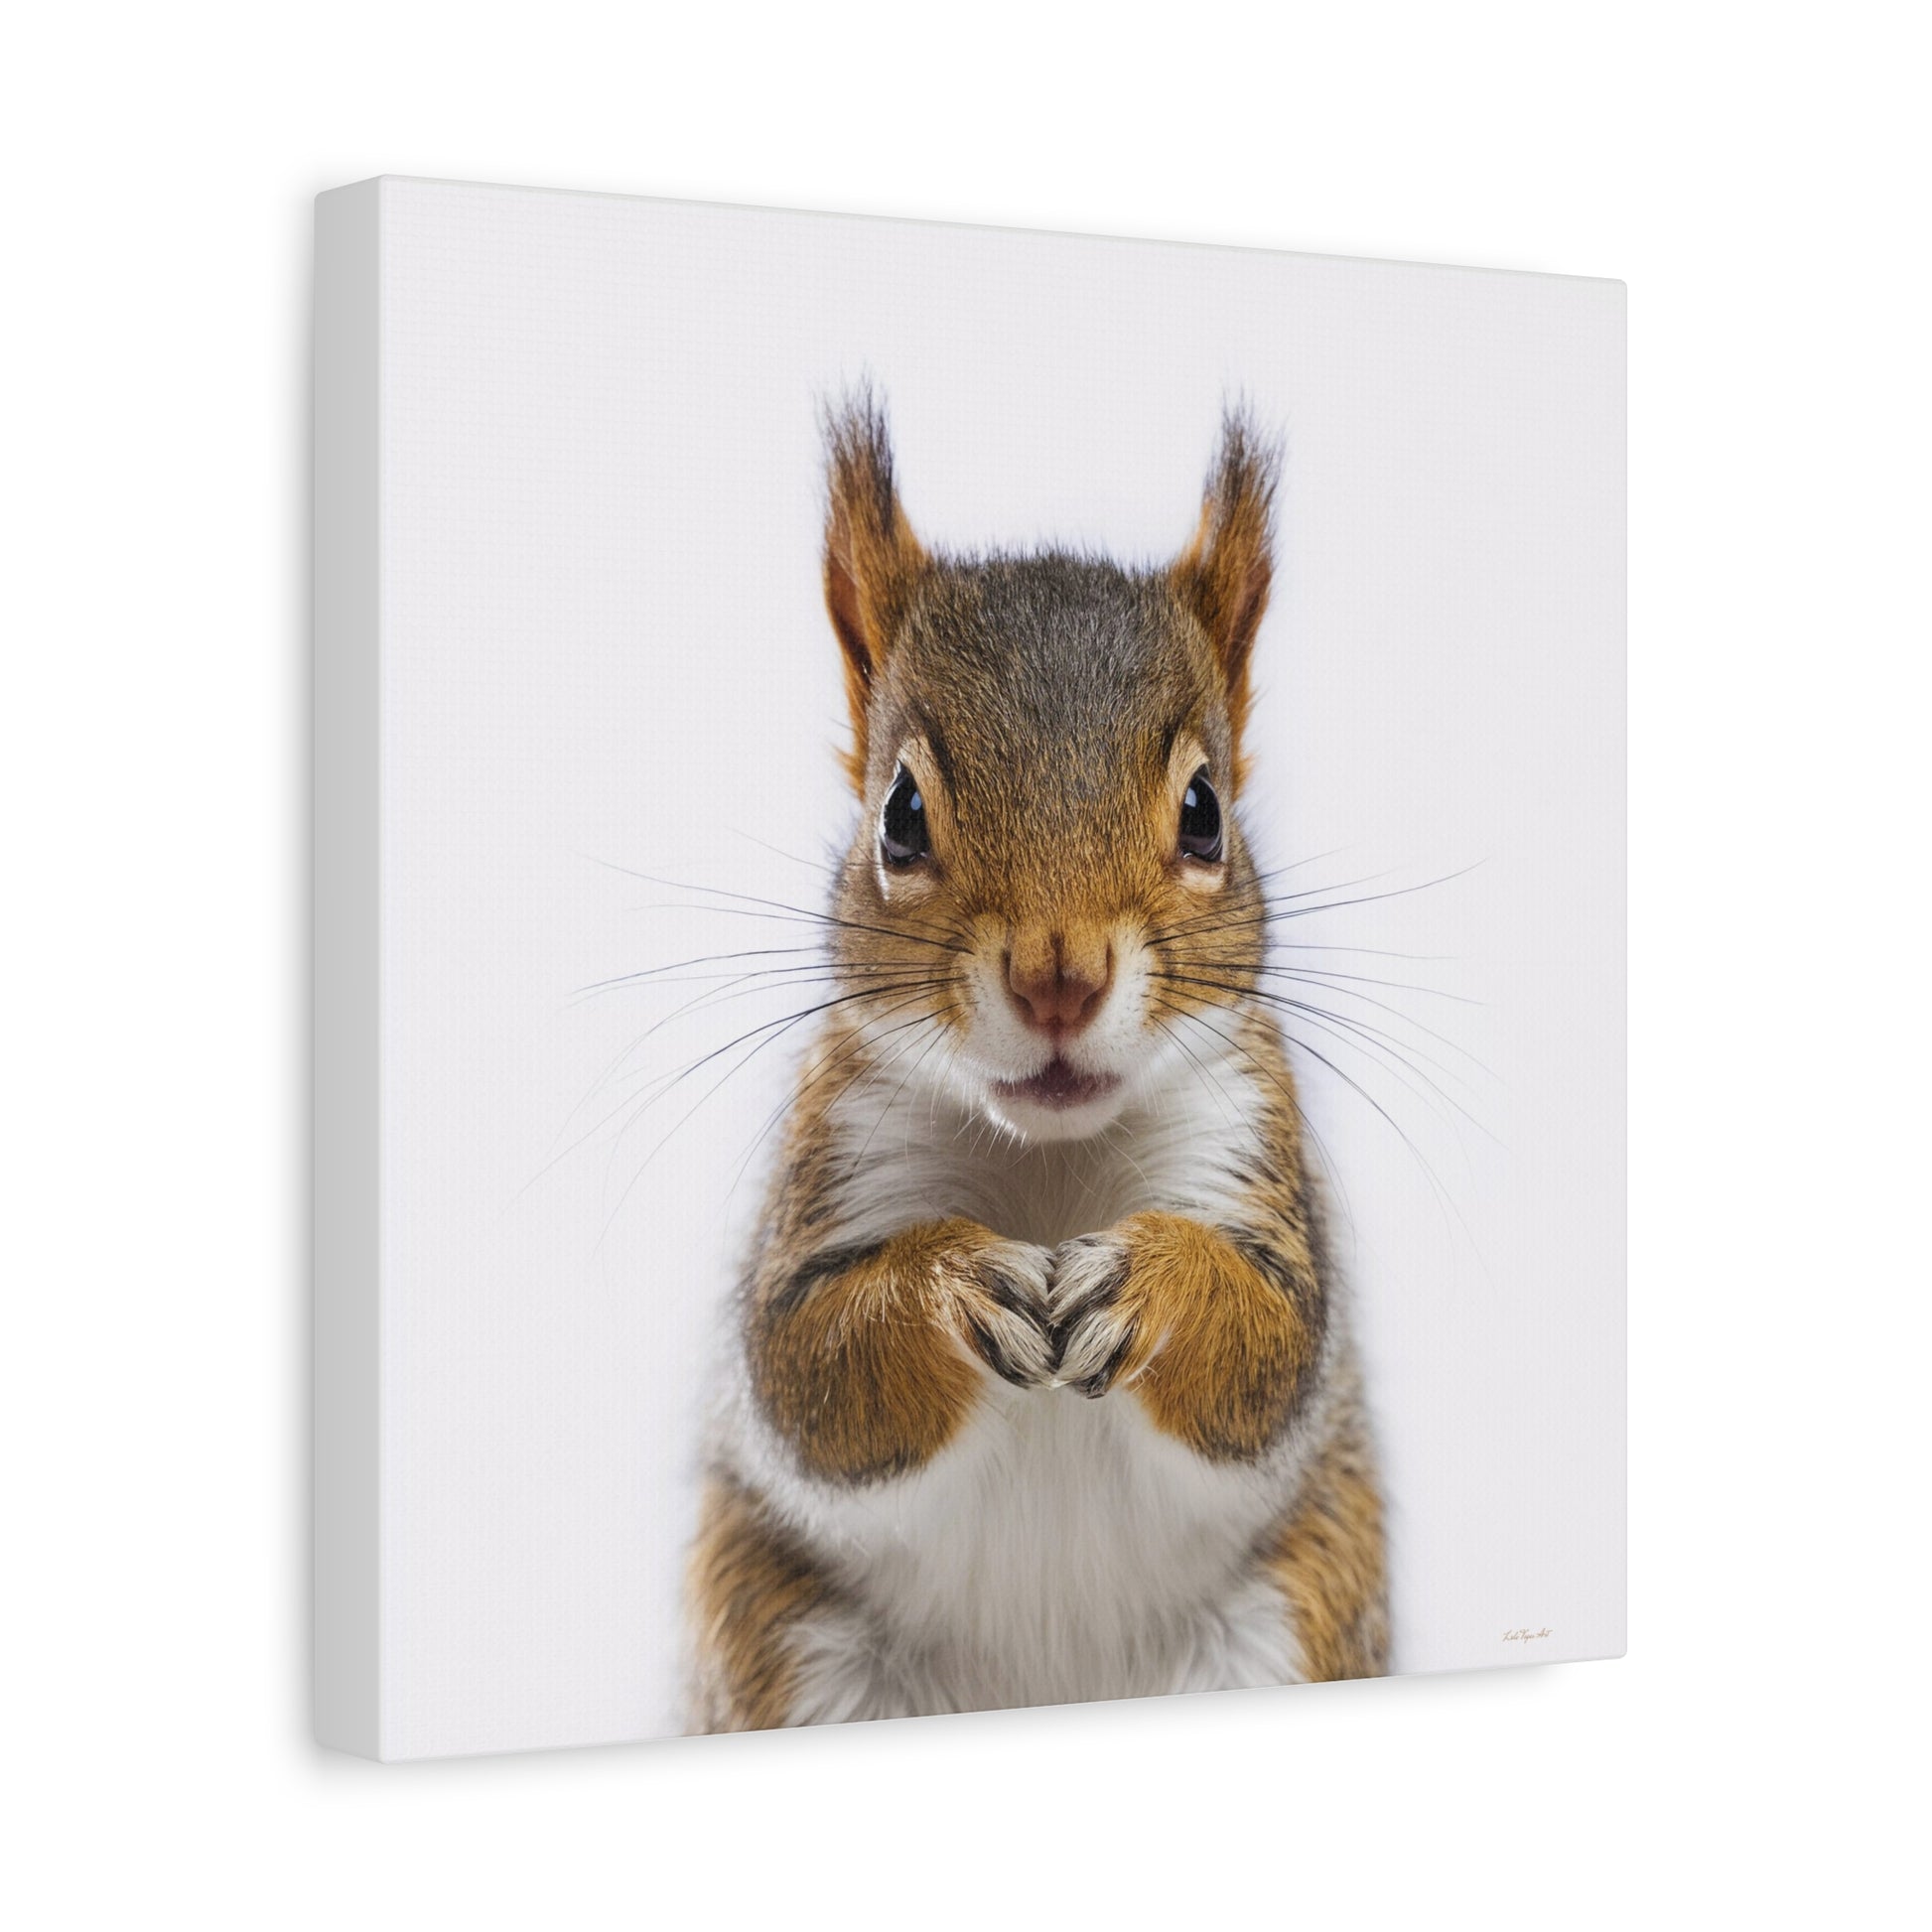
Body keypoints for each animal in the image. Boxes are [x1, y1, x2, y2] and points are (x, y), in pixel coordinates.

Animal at [686, 393, 1388, 1731]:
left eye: (1204, 813)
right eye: (899, 816)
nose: (1057, 977)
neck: (1051, 1165)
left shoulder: (1249, 1148)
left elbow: (1272, 1342)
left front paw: (1153, 1281)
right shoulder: (832, 1160)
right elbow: (806, 1373)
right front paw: (952, 1280)